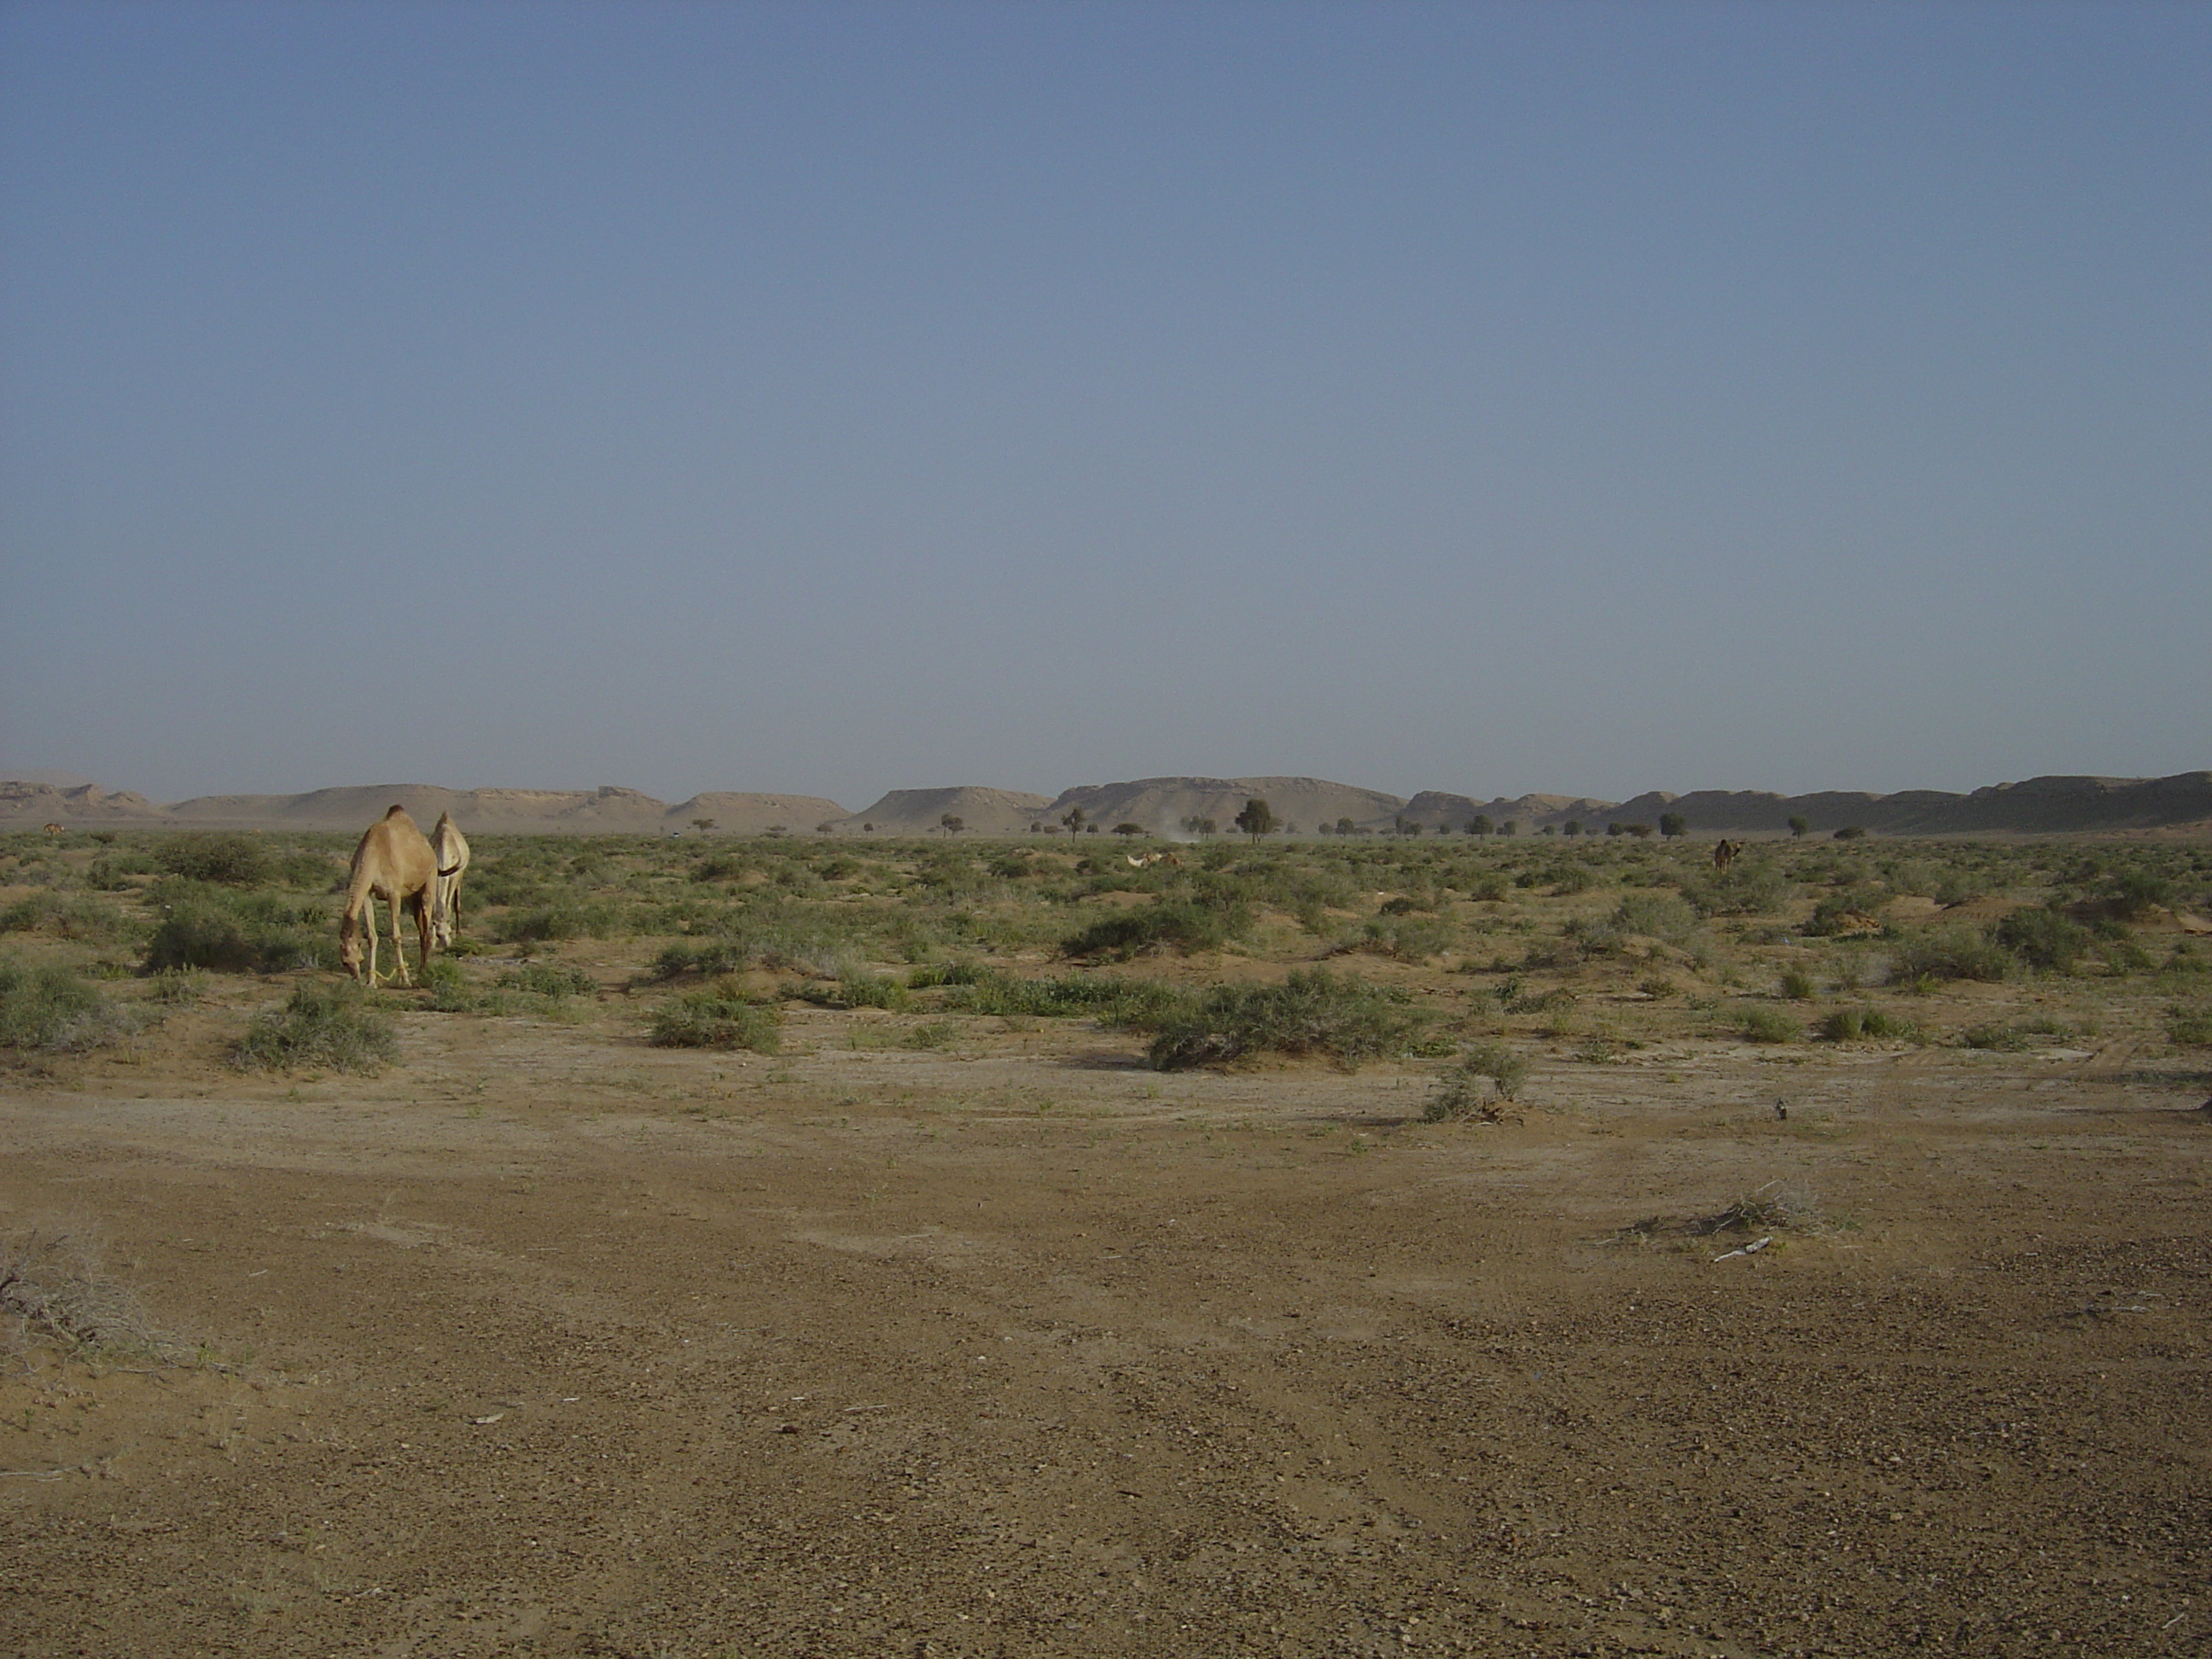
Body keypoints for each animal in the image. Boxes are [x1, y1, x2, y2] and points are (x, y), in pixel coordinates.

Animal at [338, 805, 438, 987]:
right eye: (344, 962)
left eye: (360, 960)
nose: (356, 978)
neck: (374, 854)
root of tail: (428, 848)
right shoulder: (367, 893)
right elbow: (372, 936)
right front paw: (371, 981)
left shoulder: (394, 893)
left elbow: (396, 937)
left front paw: (405, 979)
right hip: (411, 896)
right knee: (421, 928)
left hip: (430, 881)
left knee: (427, 926)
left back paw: (423, 972)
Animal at [428, 813, 473, 955]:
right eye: (438, 934)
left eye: (449, 930)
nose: (446, 944)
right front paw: (431, 941)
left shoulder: (454, 877)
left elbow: (448, 905)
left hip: (459, 878)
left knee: (456, 903)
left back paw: (459, 934)